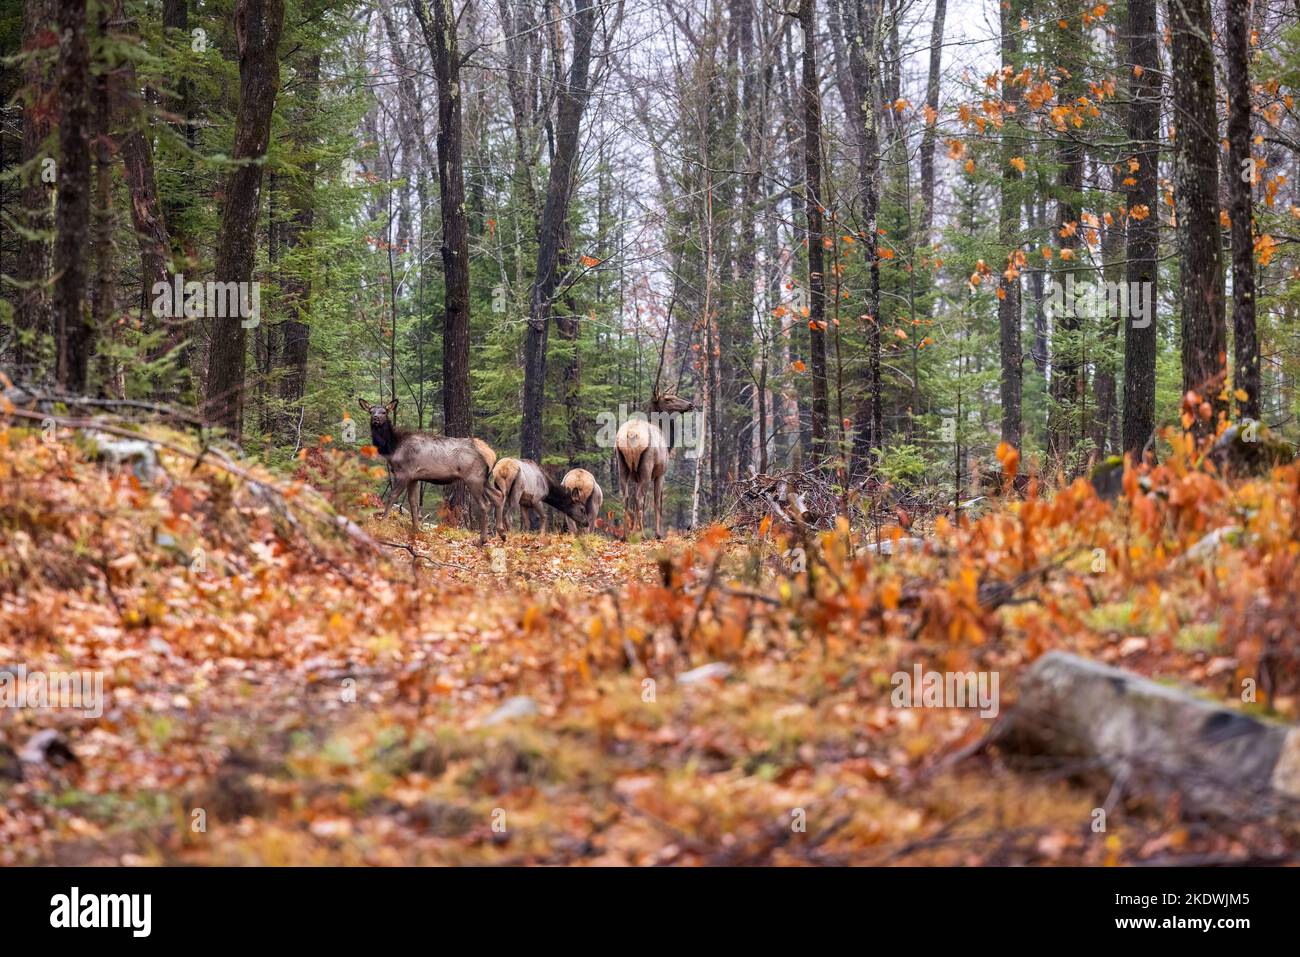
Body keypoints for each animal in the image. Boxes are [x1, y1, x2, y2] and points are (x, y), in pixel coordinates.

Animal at [357, 397, 494, 544]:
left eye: (384, 412)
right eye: (371, 411)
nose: (375, 418)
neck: (392, 448)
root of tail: (490, 453)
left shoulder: (403, 473)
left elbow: (392, 497)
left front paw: (382, 523)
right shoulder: (413, 477)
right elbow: (413, 503)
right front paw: (416, 529)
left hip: (474, 478)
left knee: (485, 504)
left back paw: (482, 540)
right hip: (484, 479)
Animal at [614, 392, 694, 539]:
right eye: (668, 399)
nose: (690, 404)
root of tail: (630, 434)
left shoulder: (637, 477)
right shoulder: (660, 474)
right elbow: (658, 503)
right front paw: (658, 534)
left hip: (622, 465)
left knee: (627, 497)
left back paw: (625, 535)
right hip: (647, 467)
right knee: (639, 498)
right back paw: (643, 535)